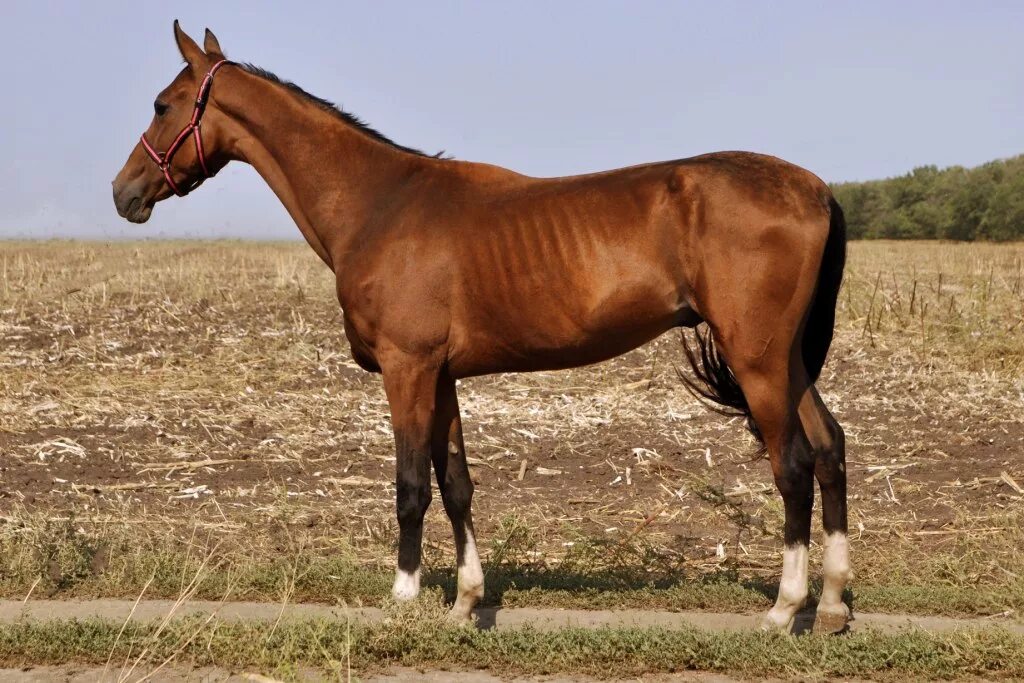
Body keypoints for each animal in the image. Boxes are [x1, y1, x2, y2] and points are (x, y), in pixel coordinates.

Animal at [110, 25, 847, 634]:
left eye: (163, 105)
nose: (123, 194)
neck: (378, 203)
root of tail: (814, 187)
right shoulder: (442, 375)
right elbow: (456, 483)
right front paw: (465, 600)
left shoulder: (407, 368)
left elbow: (411, 486)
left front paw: (403, 597)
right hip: (787, 363)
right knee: (829, 448)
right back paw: (835, 604)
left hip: (757, 361)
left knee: (793, 464)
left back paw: (785, 609)